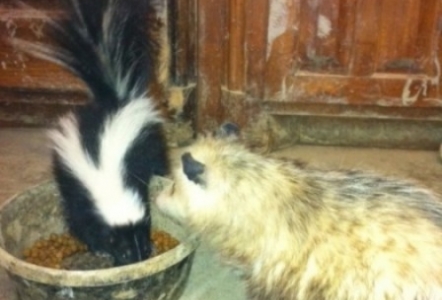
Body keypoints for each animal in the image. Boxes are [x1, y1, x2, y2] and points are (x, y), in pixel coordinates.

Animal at [16, 0, 168, 268]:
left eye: (142, 240)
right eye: (121, 248)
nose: (137, 259)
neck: (106, 179)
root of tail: (110, 99)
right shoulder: (82, 198)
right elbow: (82, 222)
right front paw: (97, 247)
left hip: (149, 138)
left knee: (159, 160)